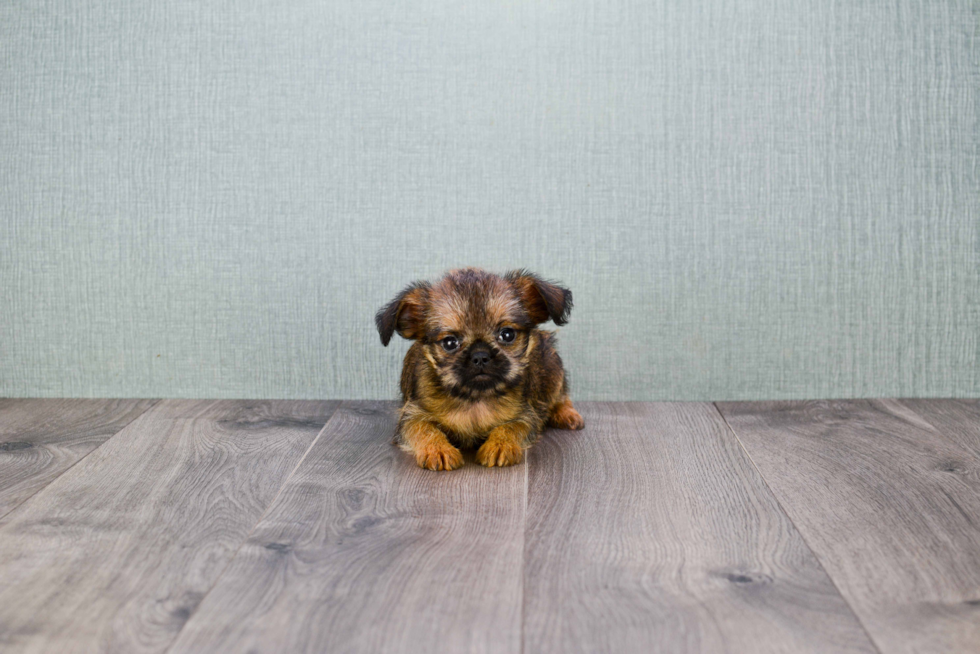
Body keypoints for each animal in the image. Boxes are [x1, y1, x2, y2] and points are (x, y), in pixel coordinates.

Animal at [376, 268, 580, 472]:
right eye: (449, 343)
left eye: (507, 334)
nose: (480, 355)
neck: (475, 398)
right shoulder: (411, 417)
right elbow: (424, 429)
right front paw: (437, 449)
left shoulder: (525, 416)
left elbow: (509, 427)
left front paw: (500, 445)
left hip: (553, 367)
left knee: (561, 395)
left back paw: (566, 414)